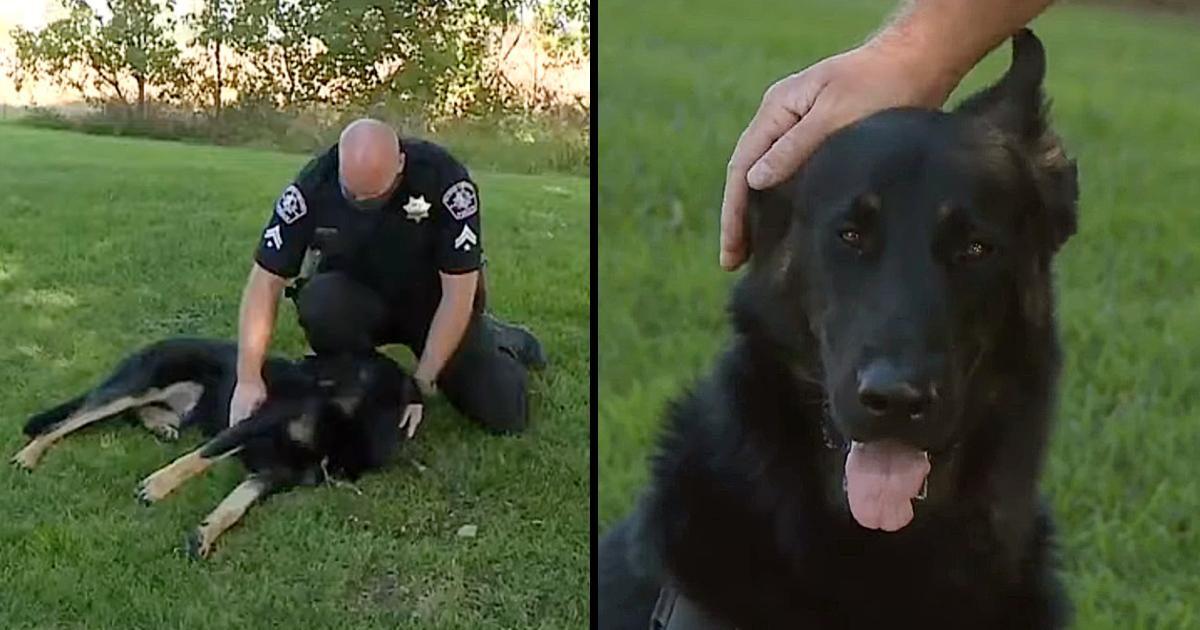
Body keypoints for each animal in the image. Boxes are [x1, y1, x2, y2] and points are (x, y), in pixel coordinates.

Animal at [10, 336, 417, 556]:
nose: (303, 366)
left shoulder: (278, 472)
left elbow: (237, 504)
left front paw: (205, 533)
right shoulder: (256, 419)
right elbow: (204, 456)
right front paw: (158, 486)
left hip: (169, 405)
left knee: (136, 415)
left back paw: (161, 427)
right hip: (137, 386)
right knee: (66, 422)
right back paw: (28, 455)